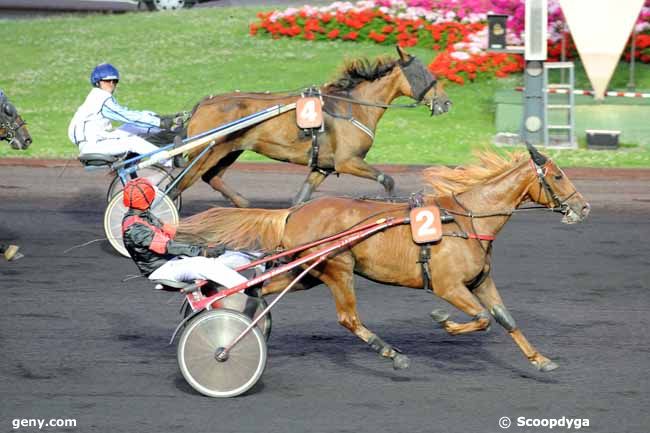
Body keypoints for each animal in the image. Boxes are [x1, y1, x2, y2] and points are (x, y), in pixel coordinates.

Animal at [176, 144, 588, 372]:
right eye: (558, 176)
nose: (583, 208)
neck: (465, 219)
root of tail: (293, 212)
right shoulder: (449, 286)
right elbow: (482, 319)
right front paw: (445, 322)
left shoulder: (480, 281)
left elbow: (505, 318)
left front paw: (540, 360)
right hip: (338, 268)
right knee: (348, 318)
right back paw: (391, 353)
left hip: (308, 272)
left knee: (258, 288)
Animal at [177, 47, 450, 208]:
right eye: (424, 74)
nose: (446, 102)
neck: (352, 106)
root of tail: (203, 104)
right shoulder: (347, 161)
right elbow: (388, 180)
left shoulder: (323, 167)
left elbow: (301, 199)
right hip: (208, 151)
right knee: (179, 185)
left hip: (229, 150)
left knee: (212, 177)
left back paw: (243, 203)